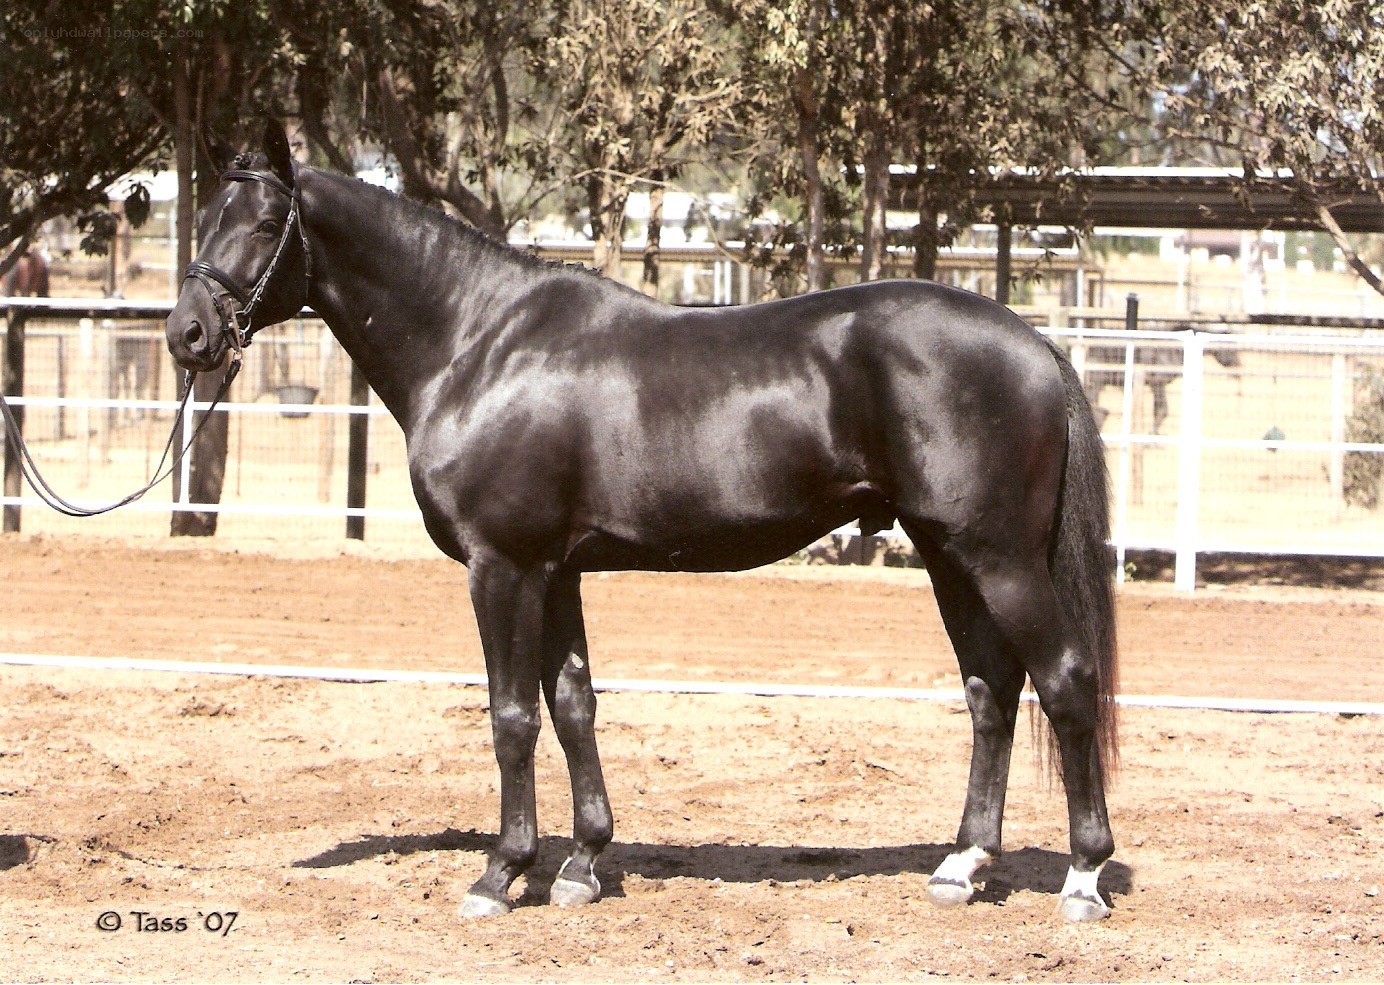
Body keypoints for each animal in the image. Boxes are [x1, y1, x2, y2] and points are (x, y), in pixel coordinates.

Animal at [165, 120, 1119, 923]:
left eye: (263, 225)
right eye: (205, 217)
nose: (188, 334)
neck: (478, 343)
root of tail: (1034, 343)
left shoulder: (503, 566)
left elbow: (511, 715)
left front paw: (500, 873)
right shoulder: (556, 571)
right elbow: (572, 704)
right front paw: (582, 864)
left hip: (999, 558)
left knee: (1064, 681)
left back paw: (1082, 876)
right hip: (947, 555)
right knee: (992, 692)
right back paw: (963, 865)